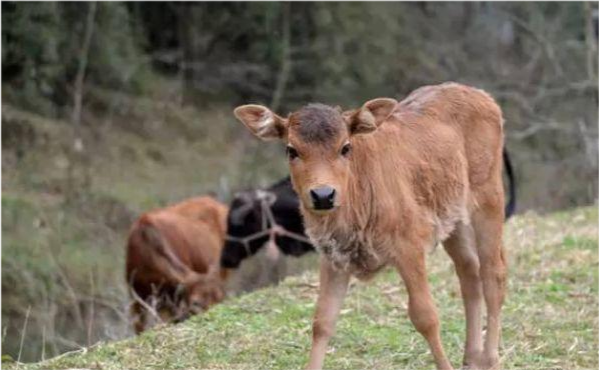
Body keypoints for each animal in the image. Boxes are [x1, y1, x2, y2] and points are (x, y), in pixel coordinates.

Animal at [234, 83, 510, 370]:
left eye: (345, 147)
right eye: (291, 150)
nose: (323, 195)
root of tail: (480, 94)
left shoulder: (409, 247)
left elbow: (426, 316)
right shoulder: (333, 258)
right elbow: (323, 321)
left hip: (489, 199)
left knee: (493, 274)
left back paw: (490, 358)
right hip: (454, 219)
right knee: (469, 272)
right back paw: (472, 357)